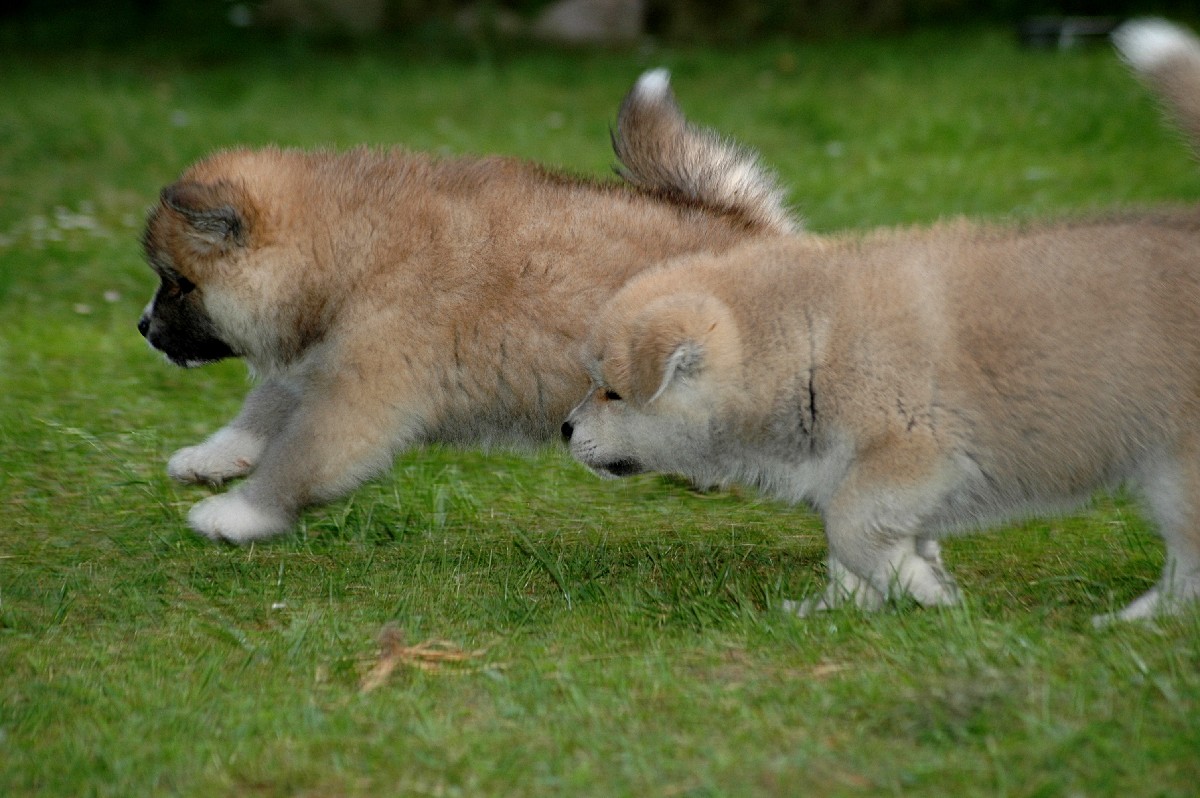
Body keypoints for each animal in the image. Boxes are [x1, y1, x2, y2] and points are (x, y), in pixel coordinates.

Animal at [138, 69, 795, 543]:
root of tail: (754, 229)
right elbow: (262, 411)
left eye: (178, 284)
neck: (350, 251)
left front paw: (236, 515)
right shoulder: (320, 360)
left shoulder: (360, 394)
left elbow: (296, 461)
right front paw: (210, 457)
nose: (143, 328)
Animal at [564, 19, 1200, 623]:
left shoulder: (913, 455)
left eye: (612, 392)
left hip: (1176, 469)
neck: (806, 345)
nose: (565, 430)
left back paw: (1134, 620)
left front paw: (927, 593)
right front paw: (842, 606)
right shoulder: (849, 476)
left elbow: (851, 530)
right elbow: (850, 552)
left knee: (1186, 561)